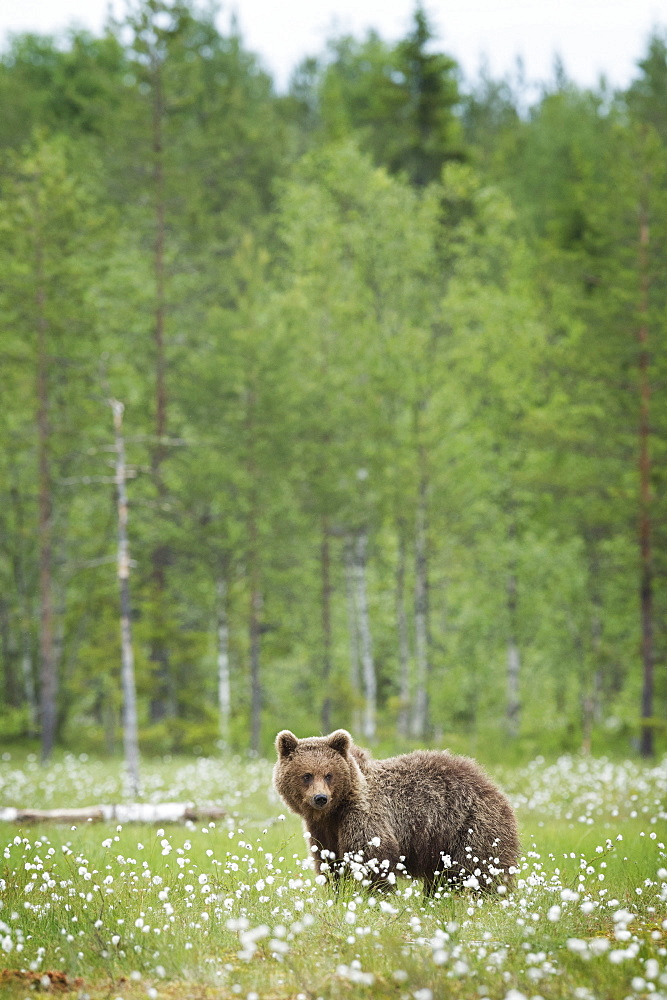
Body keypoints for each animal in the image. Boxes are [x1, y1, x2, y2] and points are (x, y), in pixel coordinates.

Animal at [272, 728, 520, 892]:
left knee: (481, 869)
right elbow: (331, 862)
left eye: (328, 774)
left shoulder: (363, 816)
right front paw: (339, 893)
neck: (335, 811)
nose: (320, 798)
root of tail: (493, 786)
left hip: (470, 826)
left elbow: (373, 858)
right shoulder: (323, 830)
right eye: (306, 775)